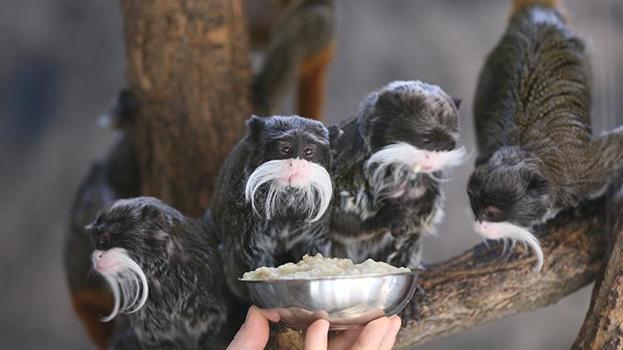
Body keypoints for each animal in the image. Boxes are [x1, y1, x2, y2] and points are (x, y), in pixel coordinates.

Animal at [211, 115, 336, 300]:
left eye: (308, 151)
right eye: (286, 149)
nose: (296, 165)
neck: (287, 200)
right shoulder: (244, 224)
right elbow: (253, 255)